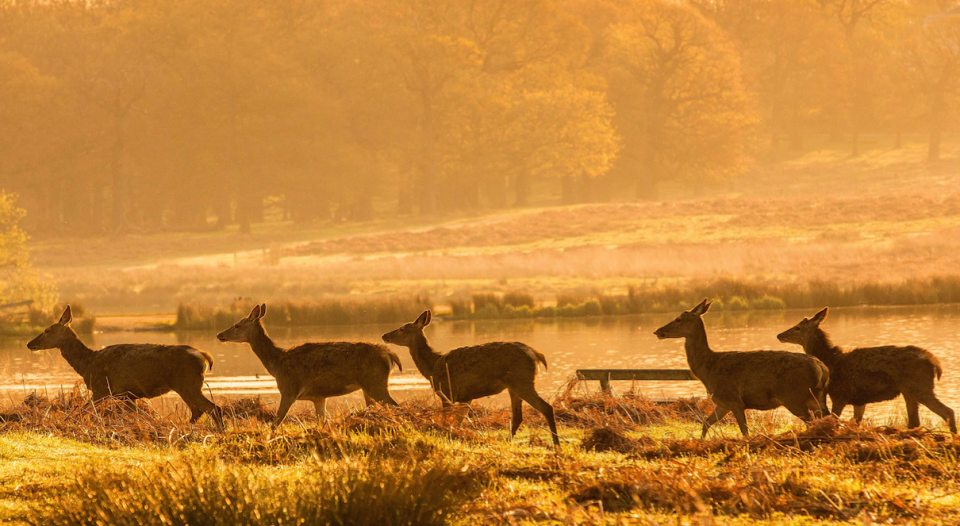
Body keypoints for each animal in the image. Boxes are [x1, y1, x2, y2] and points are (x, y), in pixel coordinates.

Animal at [26, 308, 225, 432]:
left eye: (47, 330)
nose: (29, 343)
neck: (87, 364)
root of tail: (204, 356)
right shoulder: (127, 395)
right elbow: (139, 416)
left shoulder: (102, 389)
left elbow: (80, 411)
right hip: (187, 386)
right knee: (198, 411)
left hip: (188, 384)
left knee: (213, 408)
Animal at [217, 304, 402, 426]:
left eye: (237, 325)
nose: (219, 334)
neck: (277, 364)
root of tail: (390, 355)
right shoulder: (318, 397)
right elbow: (322, 421)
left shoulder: (289, 389)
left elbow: (275, 423)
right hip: (368, 387)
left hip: (375, 383)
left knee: (395, 405)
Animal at [382, 312, 564, 448]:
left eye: (402, 329)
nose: (384, 335)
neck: (432, 367)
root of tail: (536, 354)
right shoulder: (465, 397)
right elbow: (458, 422)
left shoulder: (446, 391)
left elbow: (447, 421)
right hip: (514, 385)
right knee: (518, 416)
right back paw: (509, 442)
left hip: (521, 381)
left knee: (546, 407)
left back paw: (556, 444)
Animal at [656, 302, 828, 442]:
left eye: (678, 319)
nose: (658, 331)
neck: (708, 368)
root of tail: (821, 366)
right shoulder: (722, 403)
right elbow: (706, 423)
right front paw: (701, 442)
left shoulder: (733, 399)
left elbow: (744, 431)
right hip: (816, 397)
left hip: (793, 396)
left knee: (811, 421)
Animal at [776, 310, 956, 434]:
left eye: (797, 327)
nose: (779, 335)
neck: (830, 360)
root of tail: (935, 362)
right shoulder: (859, 399)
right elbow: (855, 422)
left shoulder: (840, 394)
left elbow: (835, 421)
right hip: (909, 391)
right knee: (914, 421)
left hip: (921, 387)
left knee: (948, 411)